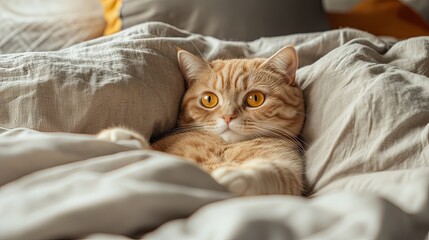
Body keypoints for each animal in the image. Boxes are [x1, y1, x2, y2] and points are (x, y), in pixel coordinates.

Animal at [97, 46, 304, 196]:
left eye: (255, 98)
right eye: (209, 99)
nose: (227, 116)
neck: (225, 146)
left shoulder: (289, 169)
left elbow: (275, 173)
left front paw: (237, 175)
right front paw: (122, 140)